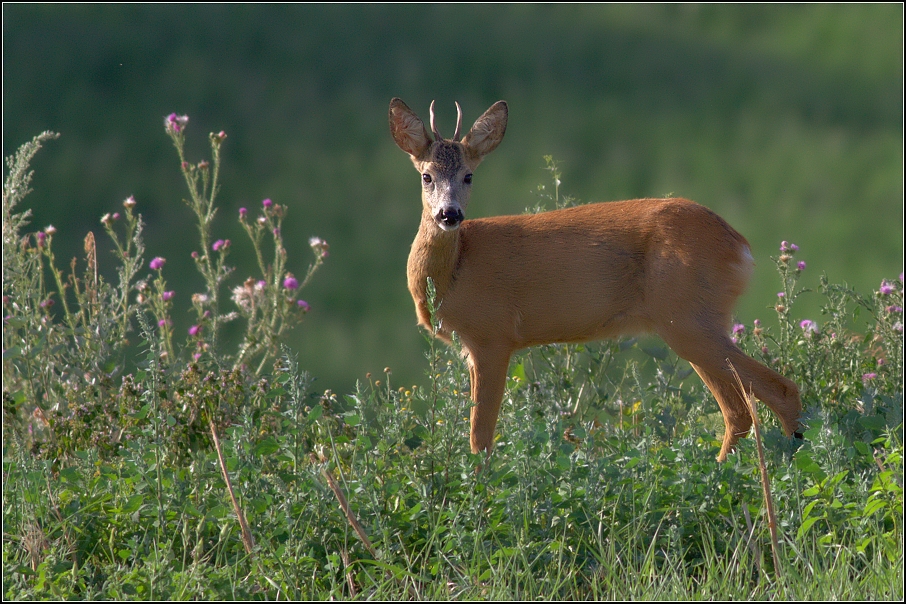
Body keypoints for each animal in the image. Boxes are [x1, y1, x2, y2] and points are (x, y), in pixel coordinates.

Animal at [386, 96, 800, 460]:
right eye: (426, 176)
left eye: (469, 175)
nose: (449, 214)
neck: (455, 272)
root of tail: (740, 246)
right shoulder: (474, 347)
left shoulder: (492, 334)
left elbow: (480, 437)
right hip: (693, 322)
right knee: (748, 405)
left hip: (688, 318)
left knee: (768, 394)